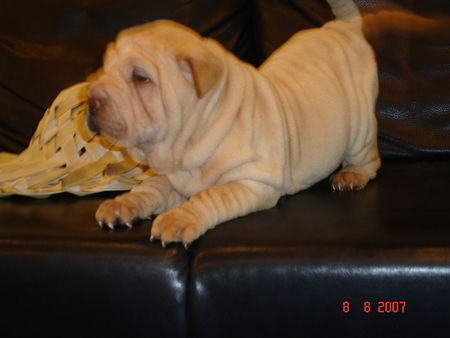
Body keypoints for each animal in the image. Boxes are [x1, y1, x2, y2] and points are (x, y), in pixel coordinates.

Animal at [87, 0, 380, 248]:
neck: (188, 143)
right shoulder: (169, 176)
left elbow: (211, 196)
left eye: (141, 77)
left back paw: (352, 175)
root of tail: (344, 27)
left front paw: (177, 219)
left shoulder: (252, 181)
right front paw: (123, 203)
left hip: (360, 131)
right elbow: (149, 188)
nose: (90, 99)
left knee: (370, 160)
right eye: (104, 68)